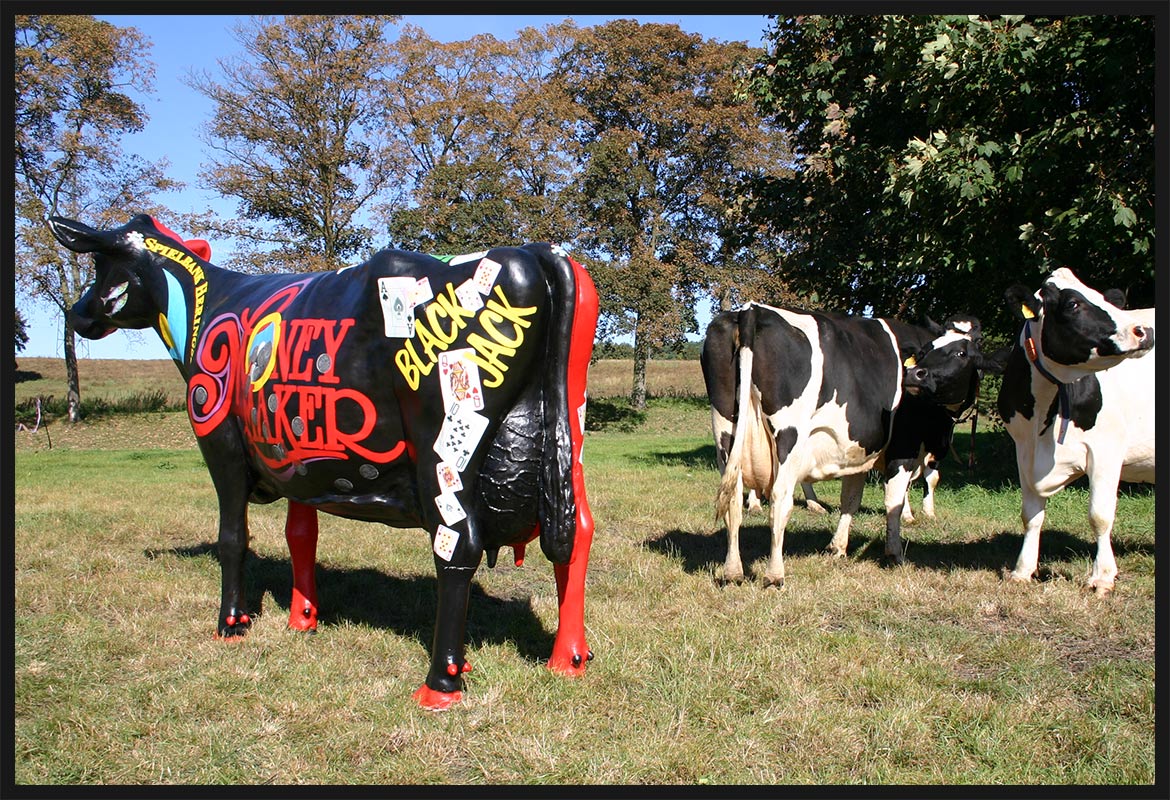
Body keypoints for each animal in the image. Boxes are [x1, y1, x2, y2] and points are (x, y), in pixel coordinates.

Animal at [54, 212, 599, 706]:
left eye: (103, 266)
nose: (76, 313)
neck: (209, 308)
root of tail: (533, 250)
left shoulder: (218, 439)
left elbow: (233, 538)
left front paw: (231, 624)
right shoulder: (300, 456)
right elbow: (301, 536)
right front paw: (302, 619)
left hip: (447, 442)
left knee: (458, 544)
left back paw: (440, 685)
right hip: (569, 434)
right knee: (577, 533)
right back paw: (567, 659)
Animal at [697, 304, 992, 584]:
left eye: (962, 352)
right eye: (931, 350)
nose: (916, 376)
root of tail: (751, 310)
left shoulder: (859, 451)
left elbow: (850, 499)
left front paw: (837, 547)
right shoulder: (903, 447)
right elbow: (894, 500)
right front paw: (895, 553)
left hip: (725, 431)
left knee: (732, 498)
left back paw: (733, 571)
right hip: (789, 436)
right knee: (781, 498)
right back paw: (774, 574)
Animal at [992, 269, 1155, 594]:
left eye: (1105, 298)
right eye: (1073, 304)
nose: (1144, 330)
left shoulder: (1106, 451)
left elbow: (1100, 515)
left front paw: (1102, 577)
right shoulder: (1023, 450)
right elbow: (1030, 515)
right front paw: (1022, 569)